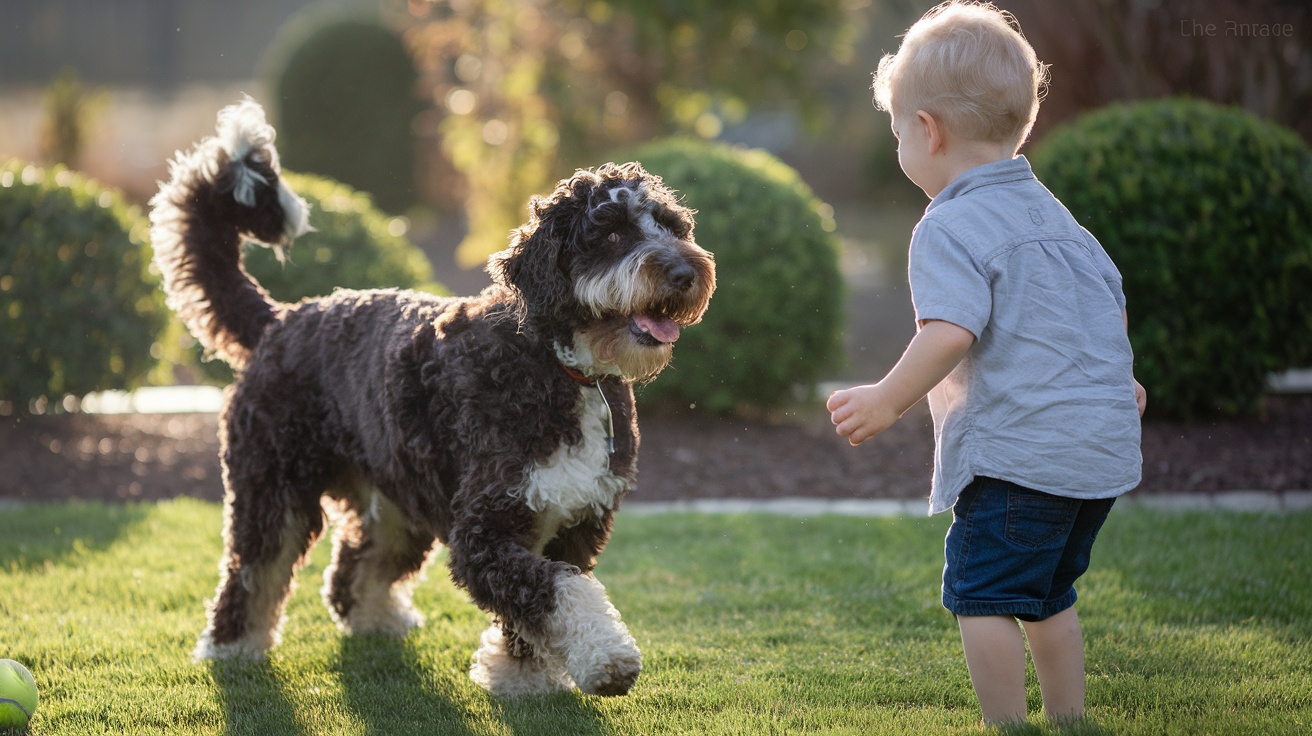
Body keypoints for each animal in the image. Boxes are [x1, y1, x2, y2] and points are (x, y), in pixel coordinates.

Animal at [152, 100, 718, 697]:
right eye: (608, 233)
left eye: (673, 227)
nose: (686, 271)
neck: (556, 363)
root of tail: (280, 318)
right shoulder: (484, 532)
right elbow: (558, 592)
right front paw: (606, 656)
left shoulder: (575, 523)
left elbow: (540, 604)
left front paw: (521, 675)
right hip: (272, 488)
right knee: (255, 569)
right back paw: (233, 647)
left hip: (397, 497)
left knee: (356, 566)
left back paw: (374, 617)